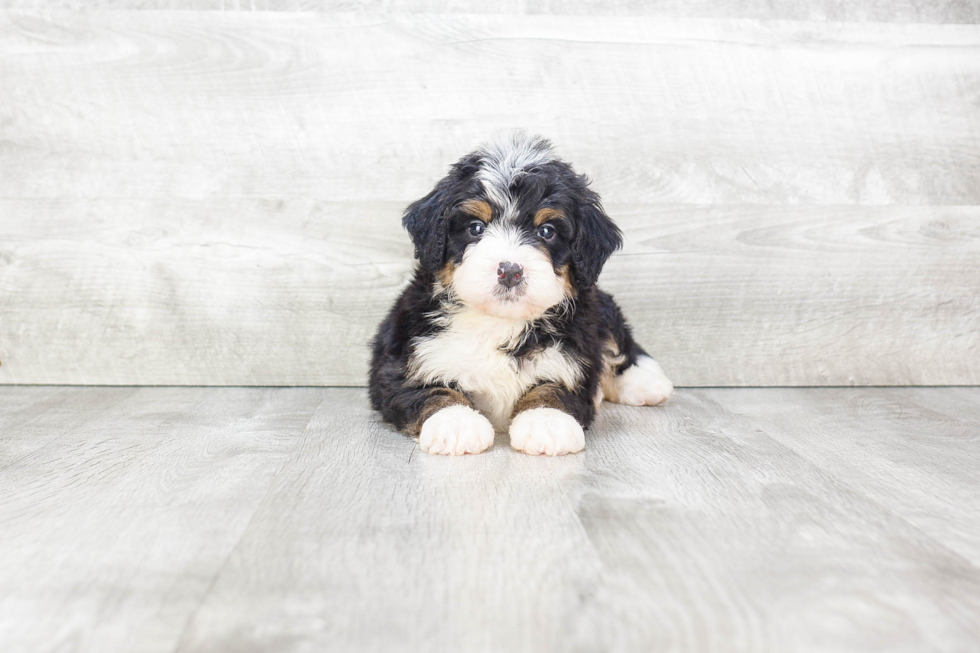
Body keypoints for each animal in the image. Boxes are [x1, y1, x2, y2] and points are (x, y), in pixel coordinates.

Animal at [368, 132, 672, 454]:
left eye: (547, 231)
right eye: (476, 228)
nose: (510, 270)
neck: (500, 321)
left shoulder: (574, 355)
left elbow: (554, 386)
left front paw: (546, 421)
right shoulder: (406, 357)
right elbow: (429, 389)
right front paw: (457, 422)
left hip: (601, 305)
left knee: (620, 345)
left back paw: (645, 382)